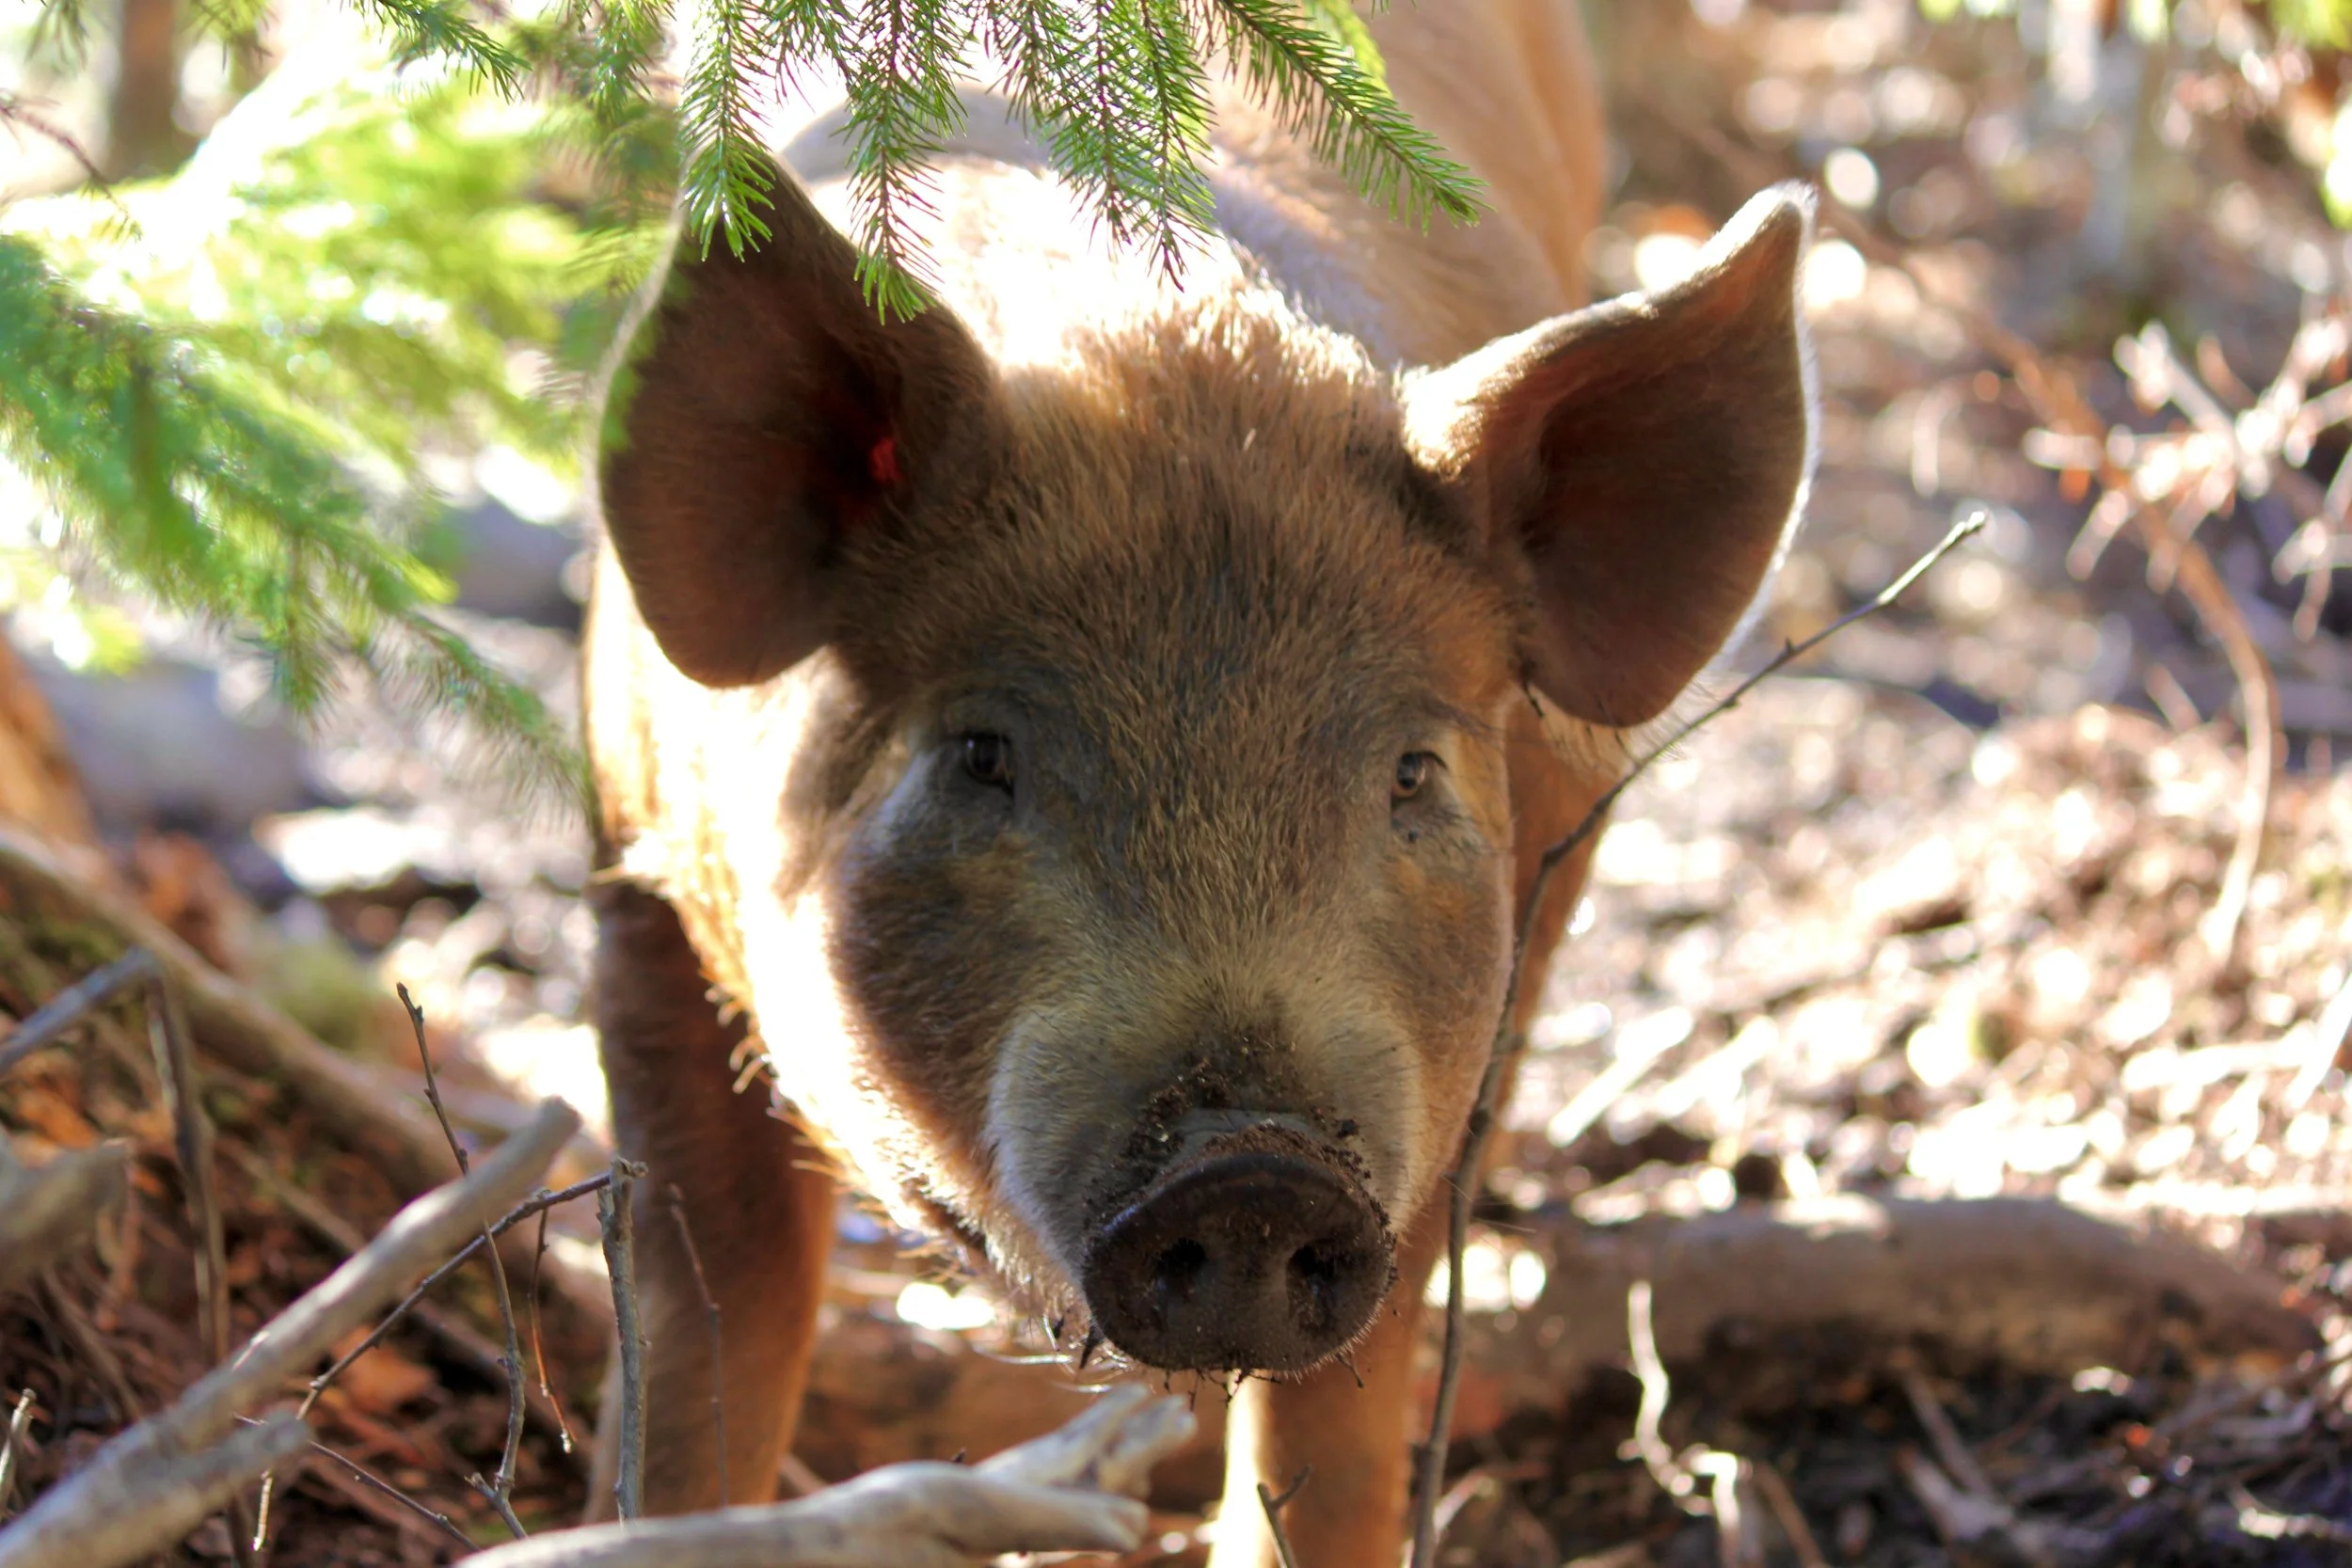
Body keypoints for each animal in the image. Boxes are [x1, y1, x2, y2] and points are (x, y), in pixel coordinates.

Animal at [581, 3, 1817, 1564]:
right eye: (982, 752)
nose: (1251, 1167)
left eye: (1411, 768)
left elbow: (1341, 1402)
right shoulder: (633, 872)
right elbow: (705, 1309)